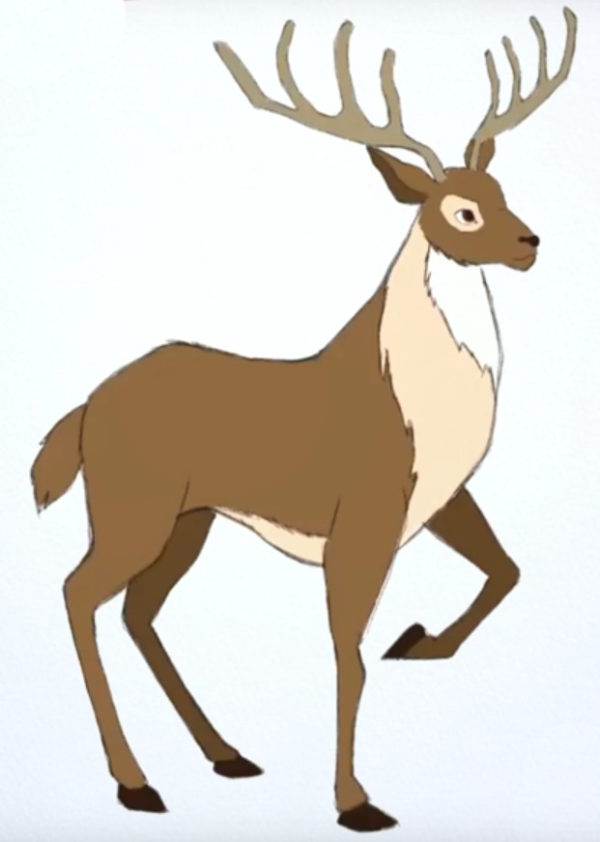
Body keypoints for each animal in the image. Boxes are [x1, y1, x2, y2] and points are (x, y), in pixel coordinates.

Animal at [31, 7, 577, 834]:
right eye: (462, 209)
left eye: (500, 187)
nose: (530, 243)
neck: (419, 401)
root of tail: (88, 408)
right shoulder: (366, 511)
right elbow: (347, 654)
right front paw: (356, 802)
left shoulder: (439, 495)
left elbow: (505, 570)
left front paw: (416, 641)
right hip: (135, 505)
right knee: (77, 592)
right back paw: (135, 783)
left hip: (189, 518)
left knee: (137, 612)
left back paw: (226, 754)